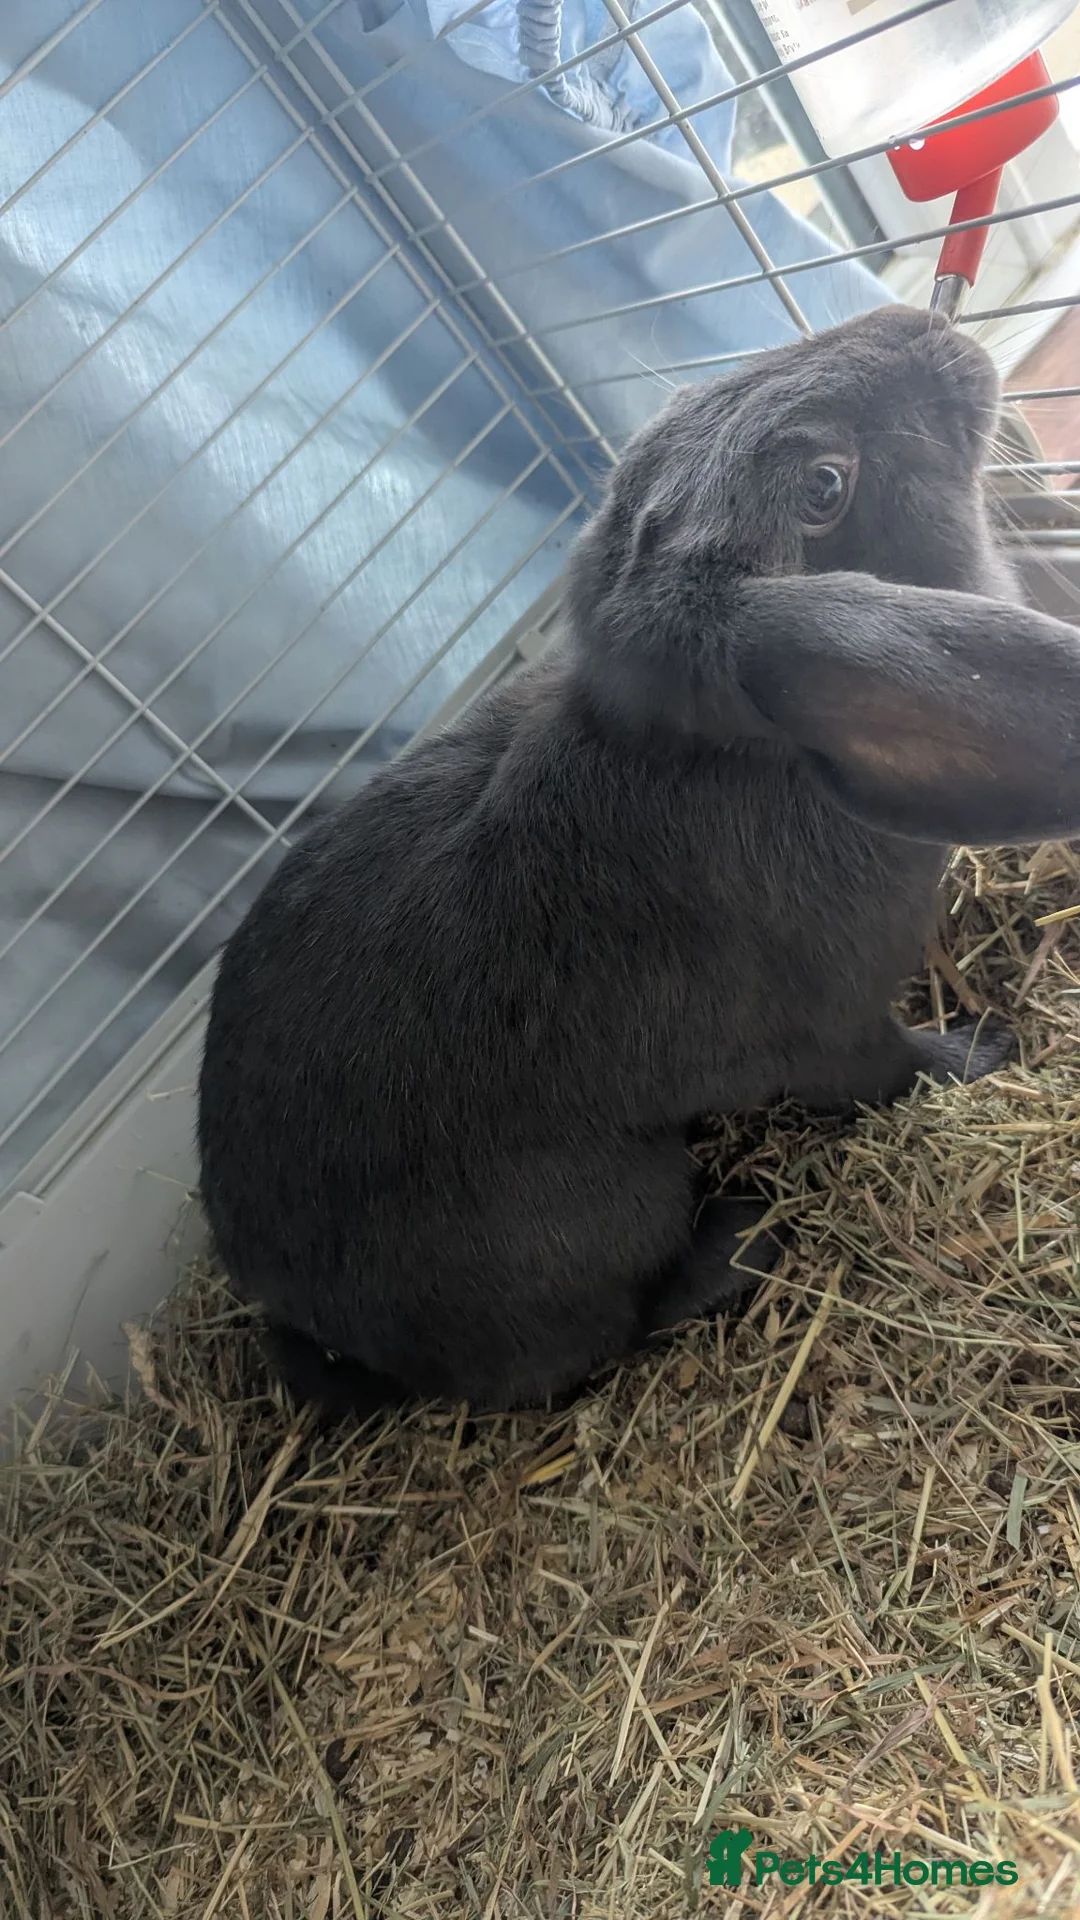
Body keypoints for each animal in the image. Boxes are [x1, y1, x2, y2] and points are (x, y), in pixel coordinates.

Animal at [197, 305, 1080, 1423]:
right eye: (824, 485)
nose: (922, 325)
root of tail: (331, 1334)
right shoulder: (830, 1028)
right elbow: (887, 1069)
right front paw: (984, 1050)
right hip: (613, 1209)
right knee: (606, 1335)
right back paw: (739, 1238)